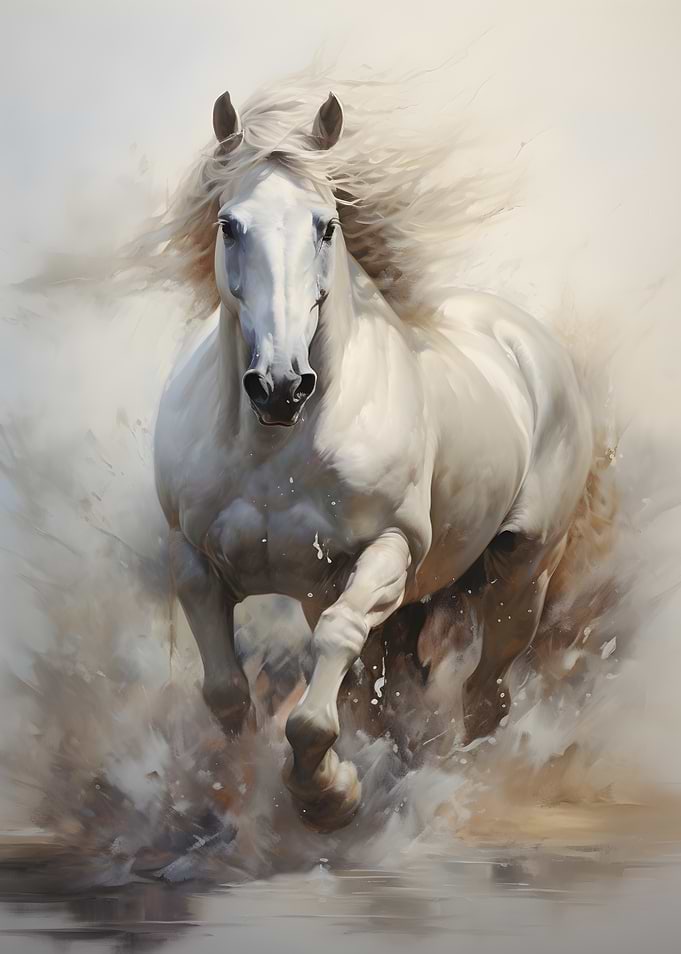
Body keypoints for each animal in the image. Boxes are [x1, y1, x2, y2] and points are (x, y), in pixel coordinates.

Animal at [152, 78, 593, 832]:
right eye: (229, 225)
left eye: (325, 225)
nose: (280, 384)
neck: (273, 448)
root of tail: (521, 339)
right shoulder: (197, 563)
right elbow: (228, 691)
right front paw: (246, 798)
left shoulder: (383, 555)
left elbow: (329, 655)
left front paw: (329, 795)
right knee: (396, 687)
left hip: (521, 574)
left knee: (485, 693)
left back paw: (461, 790)